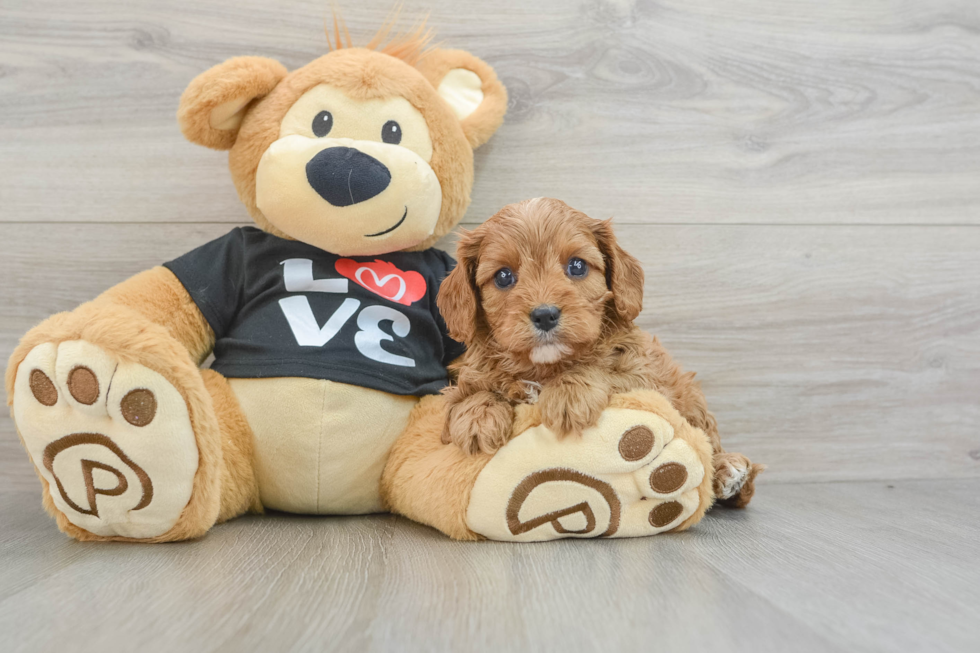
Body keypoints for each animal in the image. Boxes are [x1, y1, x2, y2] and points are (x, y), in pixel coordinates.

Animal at [438, 197, 764, 504]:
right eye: (503, 276)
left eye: (577, 266)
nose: (545, 315)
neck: (545, 367)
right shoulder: (468, 373)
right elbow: (467, 393)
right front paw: (477, 417)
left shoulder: (644, 376)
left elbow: (603, 368)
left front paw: (569, 394)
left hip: (690, 396)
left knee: (708, 446)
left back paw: (729, 471)